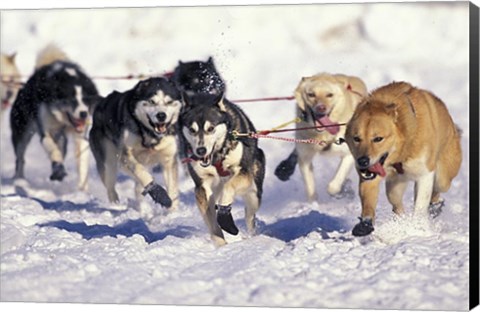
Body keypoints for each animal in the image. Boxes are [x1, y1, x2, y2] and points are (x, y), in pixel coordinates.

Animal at [274, 72, 368, 201]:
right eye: (311, 94)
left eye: (330, 95)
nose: (321, 107)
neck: (323, 134)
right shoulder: (305, 158)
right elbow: (310, 189)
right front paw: (313, 204)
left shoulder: (349, 155)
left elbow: (334, 185)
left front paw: (340, 191)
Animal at [344, 81, 462, 235]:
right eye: (356, 138)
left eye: (378, 138)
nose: (362, 161)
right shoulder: (370, 175)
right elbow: (368, 199)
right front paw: (365, 223)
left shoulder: (425, 173)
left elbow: (420, 204)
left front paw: (417, 226)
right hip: (394, 187)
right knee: (396, 203)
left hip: (443, 177)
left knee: (438, 189)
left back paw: (435, 206)